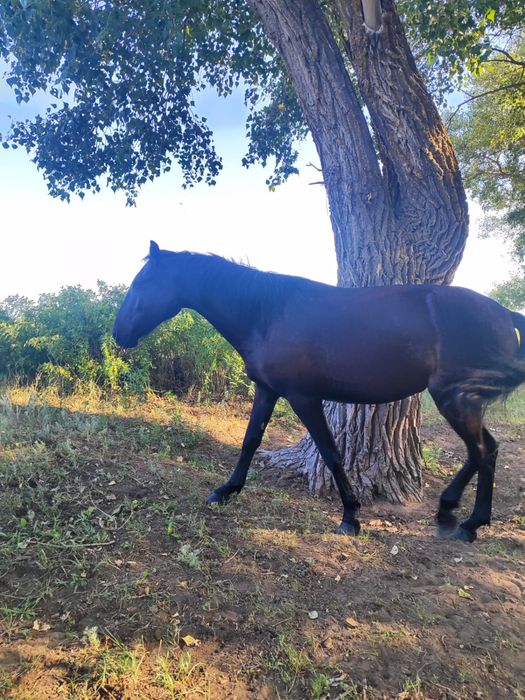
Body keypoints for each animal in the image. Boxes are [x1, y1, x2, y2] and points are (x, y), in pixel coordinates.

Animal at [113, 241, 525, 543]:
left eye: (140, 283)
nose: (119, 333)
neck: (268, 313)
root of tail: (506, 314)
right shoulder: (267, 390)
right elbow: (250, 441)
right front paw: (226, 490)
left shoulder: (304, 398)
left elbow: (331, 452)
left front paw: (350, 516)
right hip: (463, 401)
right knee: (487, 451)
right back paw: (466, 521)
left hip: (454, 399)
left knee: (482, 452)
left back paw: (456, 518)